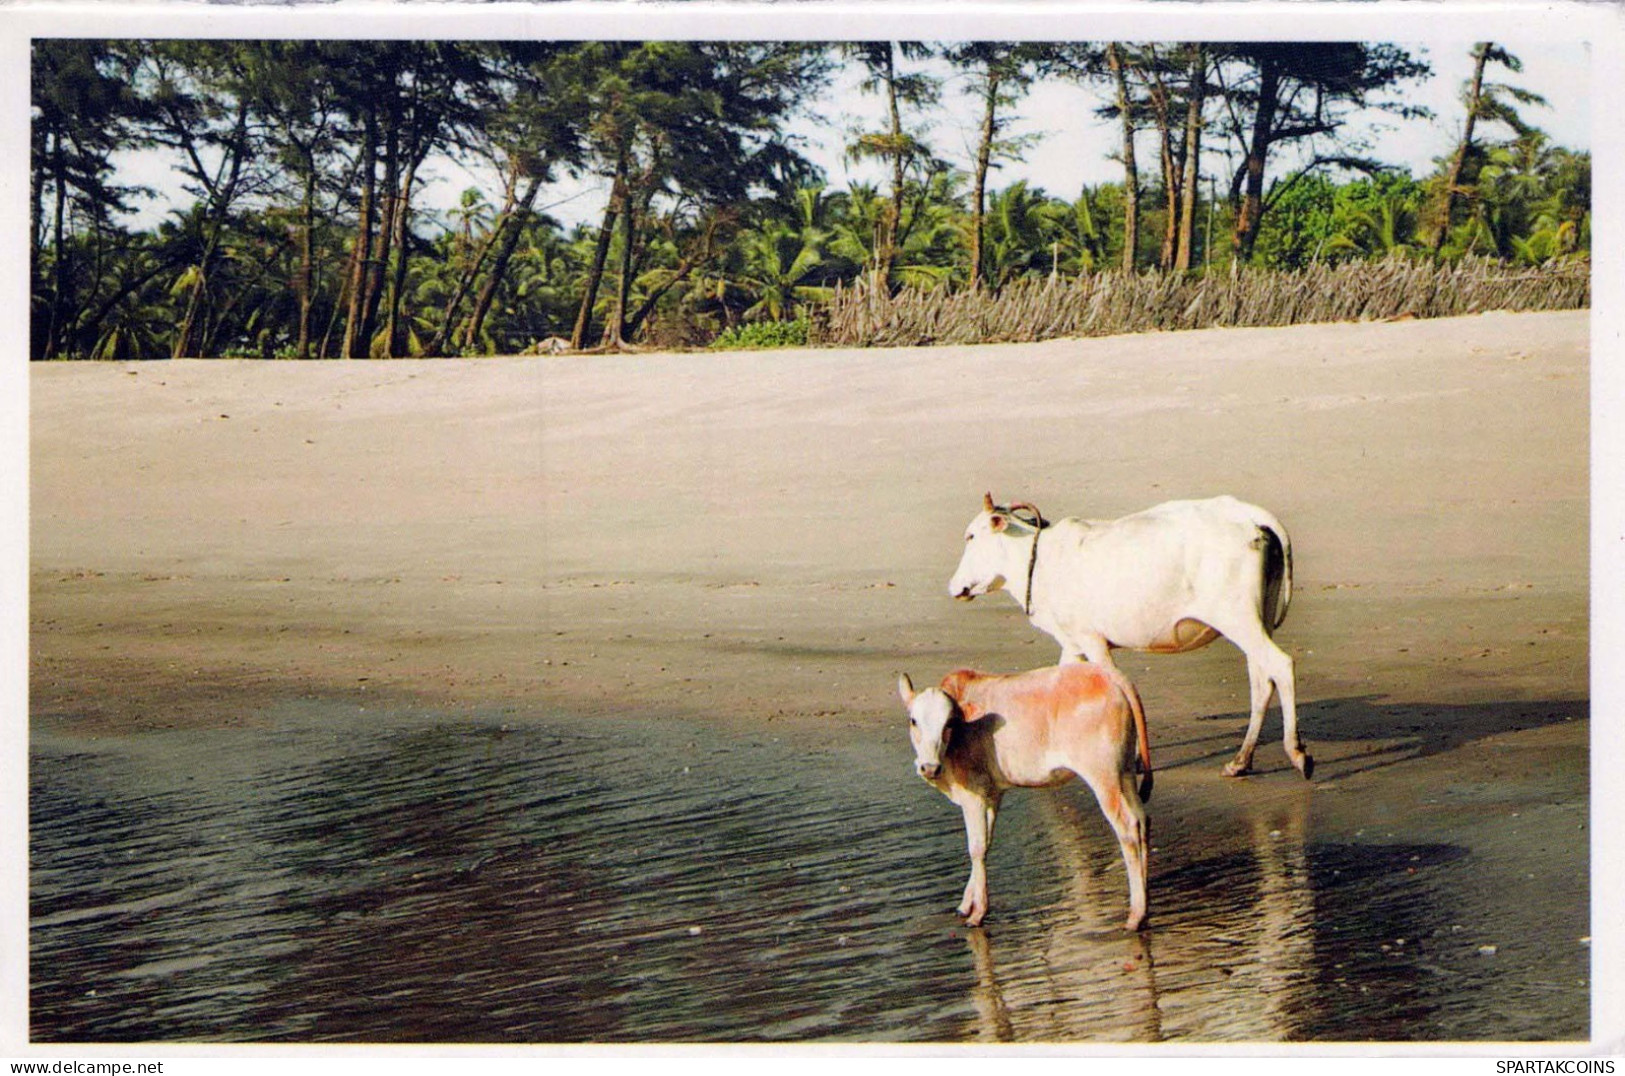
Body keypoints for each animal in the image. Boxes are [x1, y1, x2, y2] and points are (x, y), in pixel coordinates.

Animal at [903, 663, 1157, 929]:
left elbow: (976, 848)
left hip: (1104, 776)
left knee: (1128, 827)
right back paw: (1145, 899)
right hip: (1125, 773)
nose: (929, 767)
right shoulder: (993, 793)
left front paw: (978, 912)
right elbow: (987, 843)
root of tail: (1108, 675)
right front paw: (965, 905)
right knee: (1142, 820)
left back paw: (1135, 915)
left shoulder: (974, 796)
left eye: (949, 723)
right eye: (914, 721)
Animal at [949, 494, 1306, 780]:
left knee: (1280, 665)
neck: (1040, 563)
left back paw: (1297, 753)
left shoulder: (1093, 641)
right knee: (1262, 681)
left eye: (970, 536)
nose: (954, 587)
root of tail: (1249, 514)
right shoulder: (1073, 643)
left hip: (1237, 618)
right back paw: (1241, 761)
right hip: (1256, 618)